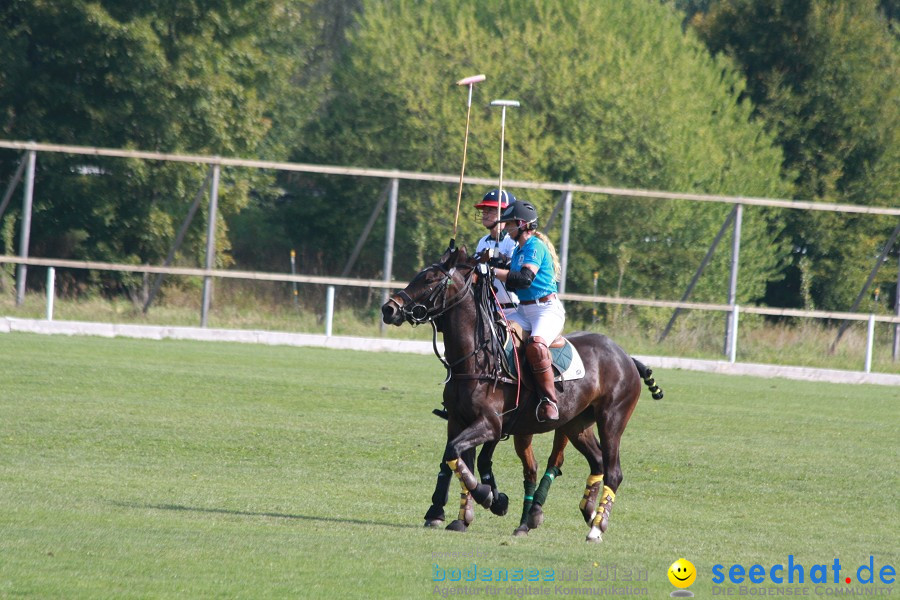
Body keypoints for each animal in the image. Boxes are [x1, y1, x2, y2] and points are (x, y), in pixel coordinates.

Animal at [380, 248, 660, 544]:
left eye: (431, 279)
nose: (389, 308)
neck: (477, 358)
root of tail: (626, 356)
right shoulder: (458, 420)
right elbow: (457, 458)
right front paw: (465, 514)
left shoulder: (491, 424)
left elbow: (458, 453)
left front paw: (489, 498)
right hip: (576, 424)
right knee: (596, 461)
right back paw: (584, 511)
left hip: (612, 420)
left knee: (613, 471)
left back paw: (596, 527)